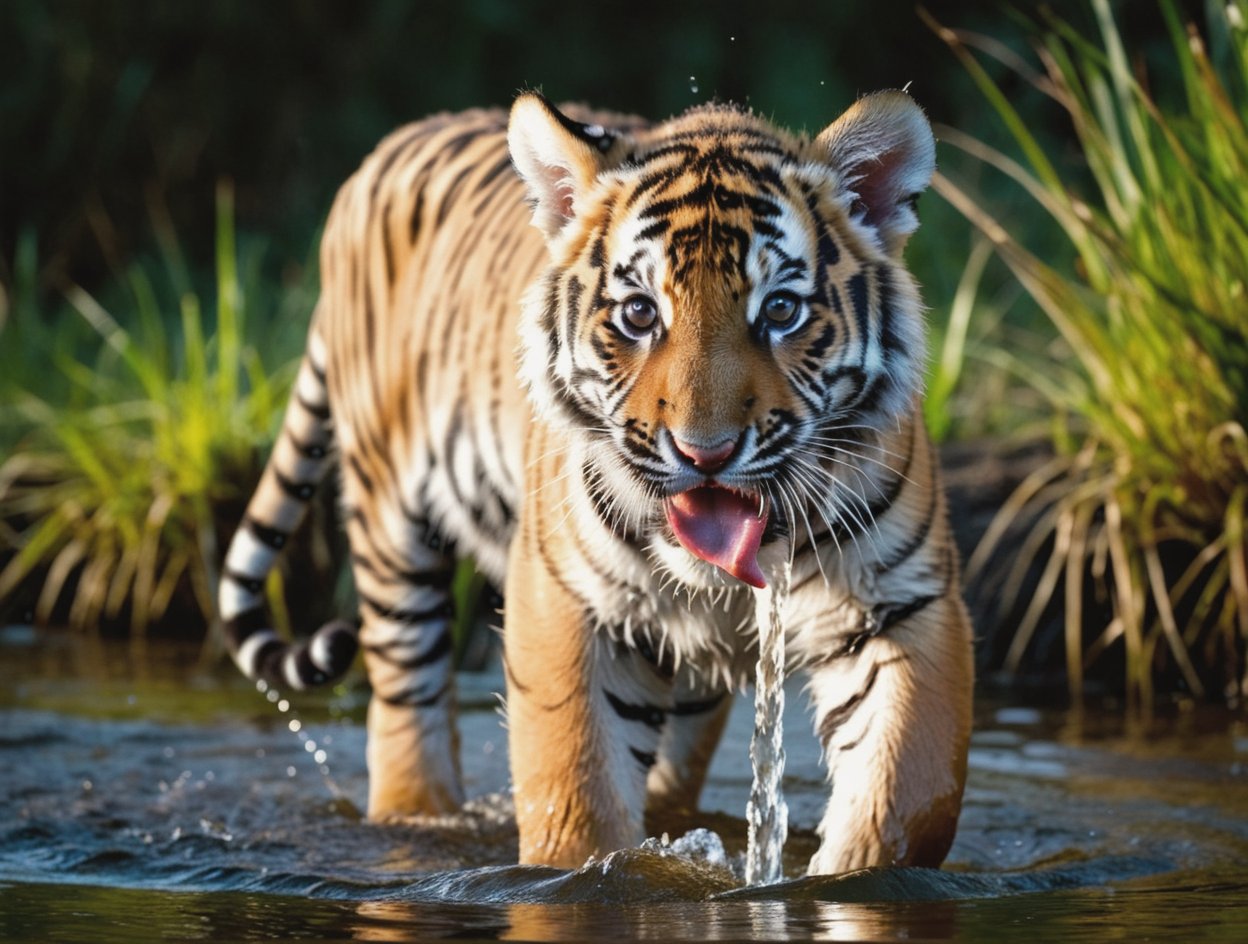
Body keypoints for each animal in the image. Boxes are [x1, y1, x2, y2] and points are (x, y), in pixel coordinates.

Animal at [217, 92, 973, 874]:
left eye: (781, 311)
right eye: (640, 313)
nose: (706, 454)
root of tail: (383, 154)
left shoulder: (898, 601)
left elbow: (908, 795)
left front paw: (842, 873)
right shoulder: (567, 600)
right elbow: (574, 799)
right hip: (391, 530)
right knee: (404, 706)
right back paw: (413, 817)